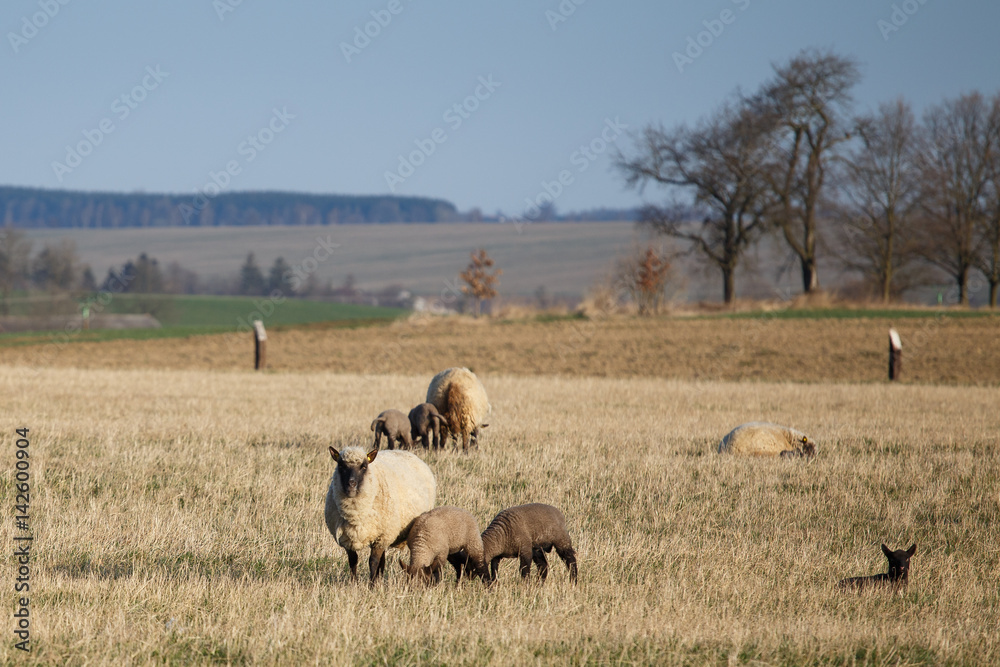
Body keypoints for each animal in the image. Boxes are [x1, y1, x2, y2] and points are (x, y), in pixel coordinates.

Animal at [324, 444, 436, 583]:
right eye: (341, 466)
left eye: (364, 466)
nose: (351, 484)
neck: (355, 513)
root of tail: (404, 451)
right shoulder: (347, 538)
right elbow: (353, 561)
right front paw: (353, 583)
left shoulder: (381, 536)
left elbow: (373, 562)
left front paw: (371, 584)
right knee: (382, 560)